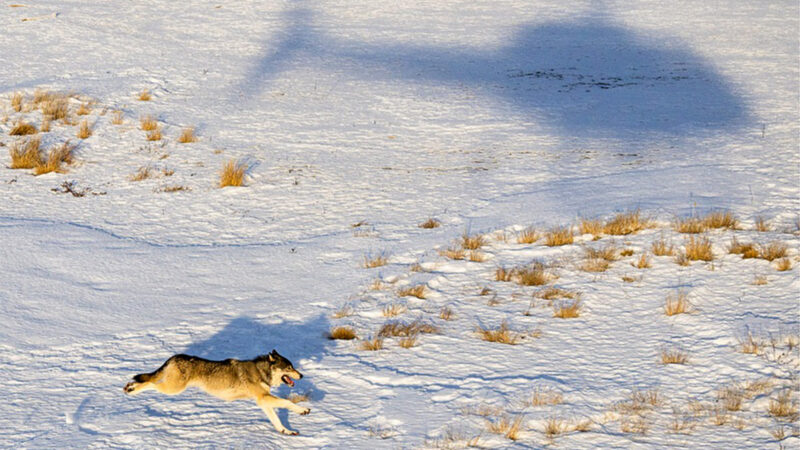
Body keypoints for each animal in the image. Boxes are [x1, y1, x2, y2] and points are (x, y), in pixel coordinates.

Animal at [122, 350, 310, 434]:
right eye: (289, 368)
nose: (301, 375)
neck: (261, 372)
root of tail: (174, 357)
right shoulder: (263, 398)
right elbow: (287, 402)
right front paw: (303, 410)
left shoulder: (262, 401)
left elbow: (276, 420)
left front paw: (286, 432)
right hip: (172, 389)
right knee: (150, 383)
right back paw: (130, 389)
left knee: (149, 381)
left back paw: (129, 387)